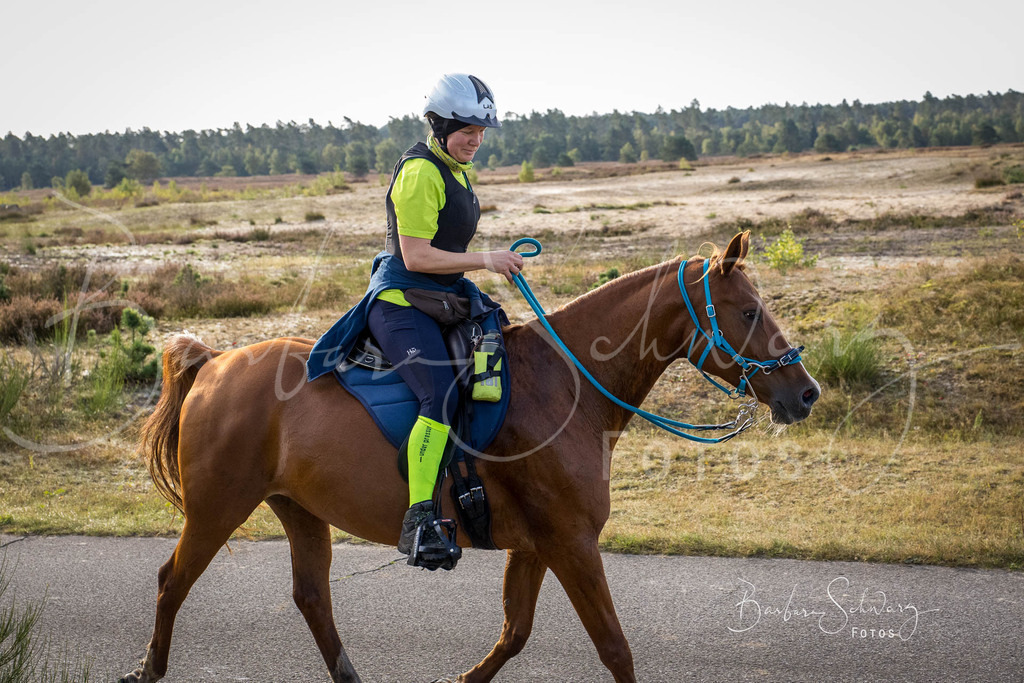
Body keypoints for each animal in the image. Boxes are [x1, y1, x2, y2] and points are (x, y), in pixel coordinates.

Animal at [121, 231, 819, 683]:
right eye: (749, 311)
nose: (806, 391)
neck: (565, 385)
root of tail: (216, 362)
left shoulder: (538, 546)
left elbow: (514, 635)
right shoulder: (571, 543)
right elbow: (615, 648)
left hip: (299, 511)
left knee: (312, 598)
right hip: (217, 509)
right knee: (169, 582)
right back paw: (149, 668)